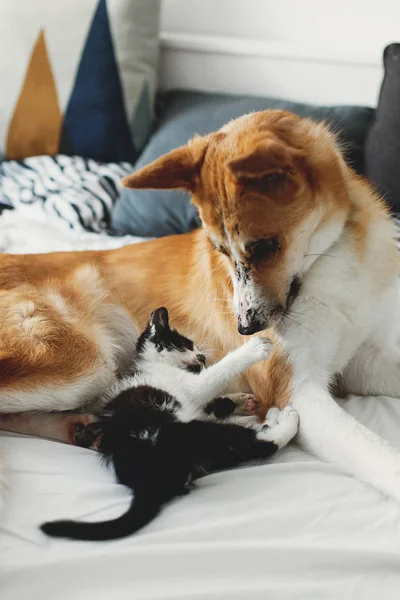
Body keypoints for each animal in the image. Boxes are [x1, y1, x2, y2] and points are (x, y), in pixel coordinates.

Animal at [40, 308, 298, 540]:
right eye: (186, 345)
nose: (203, 357)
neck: (153, 366)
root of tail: (145, 481)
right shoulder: (189, 386)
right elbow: (214, 376)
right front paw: (254, 349)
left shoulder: (194, 399)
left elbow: (211, 402)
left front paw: (241, 401)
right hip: (186, 433)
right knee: (256, 442)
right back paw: (285, 419)